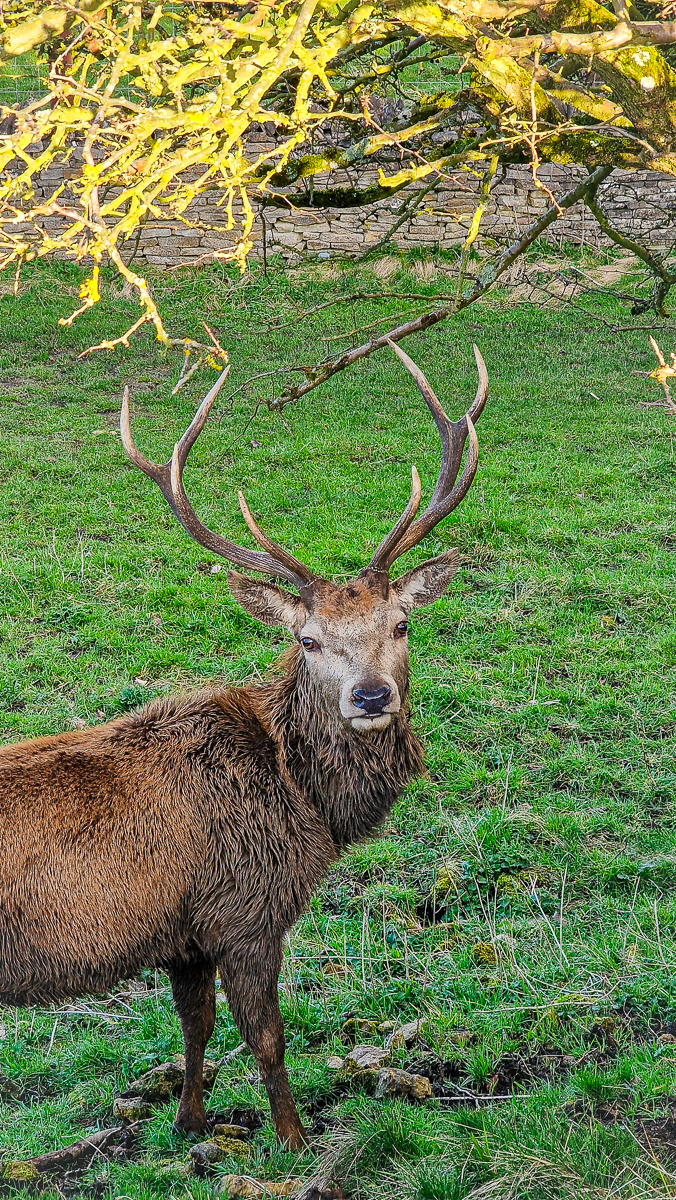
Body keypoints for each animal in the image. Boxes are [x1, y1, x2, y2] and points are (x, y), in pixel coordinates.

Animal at [0, 340, 487, 1151]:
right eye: (308, 638)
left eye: (401, 623)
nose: (370, 697)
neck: (308, 807)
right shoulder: (245, 910)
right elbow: (266, 1037)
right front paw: (292, 1138)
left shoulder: (186, 935)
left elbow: (194, 1027)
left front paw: (190, 1121)